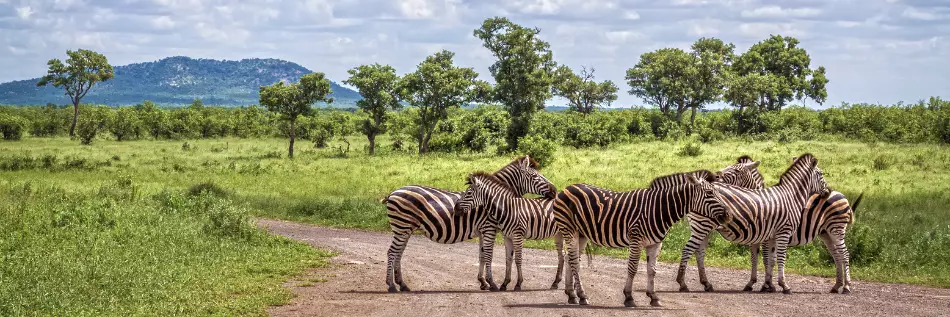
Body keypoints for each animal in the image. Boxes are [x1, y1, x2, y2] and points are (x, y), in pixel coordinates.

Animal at [380, 156, 556, 292]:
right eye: (535, 177)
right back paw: (391, 286)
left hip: (405, 229)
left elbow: (482, 255)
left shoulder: (483, 230)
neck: (496, 201)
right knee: (392, 252)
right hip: (402, 227)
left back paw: (402, 284)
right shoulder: (489, 228)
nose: (554, 191)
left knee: (399, 253)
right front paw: (491, 283)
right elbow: (489, 255)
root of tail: (393, 193)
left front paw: (483, 282)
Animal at [552, 170, 736, 306]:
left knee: (570, 259)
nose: (728, 215)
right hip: (569, 229)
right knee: (574, 261)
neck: (658, 209)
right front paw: (629, 297)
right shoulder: (636, 240)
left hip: (581, 234)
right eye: (710, 193)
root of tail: (567, 188)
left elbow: (652, 271)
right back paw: (582, 296)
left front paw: (653, 297)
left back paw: (571, 294)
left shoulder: (655, 244)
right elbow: (633, 268)